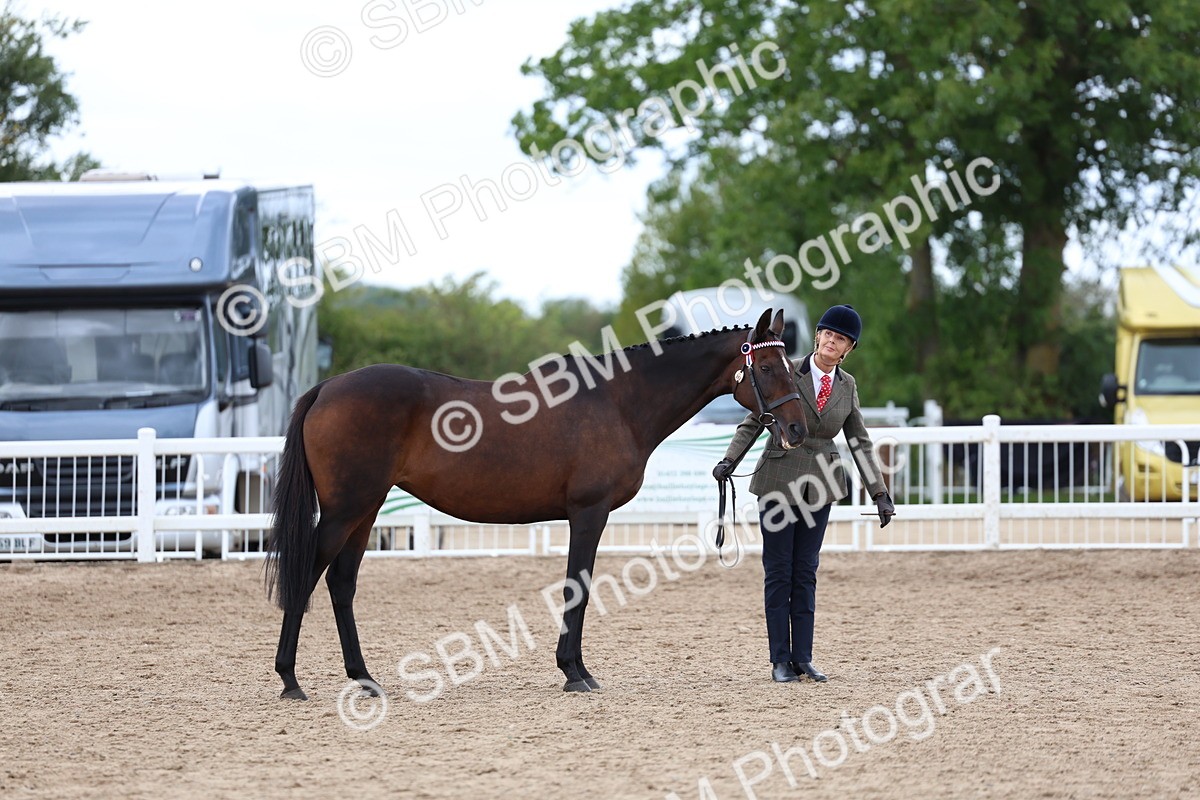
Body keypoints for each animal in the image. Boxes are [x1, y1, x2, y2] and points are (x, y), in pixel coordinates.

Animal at [265, 308, 808, 699]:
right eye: (765, 367)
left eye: (793, 366)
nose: (798, 429)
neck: (618, 402)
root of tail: (326, 388)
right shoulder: (589, 513)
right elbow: (578, 587)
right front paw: (574, 673)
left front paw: (578, 669)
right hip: (345, 510)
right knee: (308, 574)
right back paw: (290, 680)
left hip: (365, 509)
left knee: (341, 582)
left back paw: (364, 678)